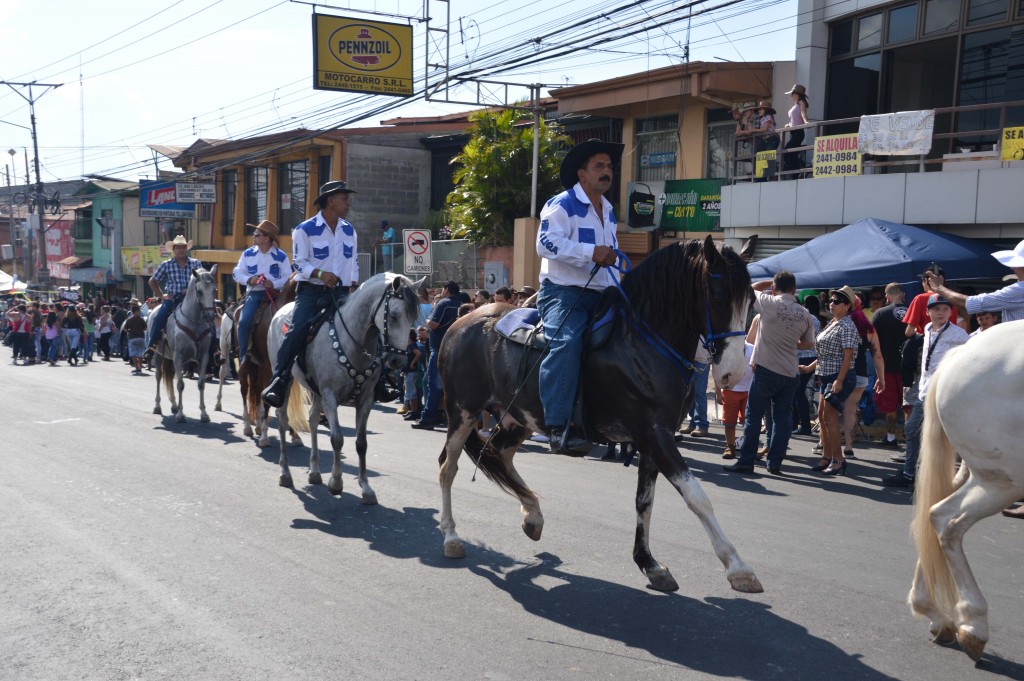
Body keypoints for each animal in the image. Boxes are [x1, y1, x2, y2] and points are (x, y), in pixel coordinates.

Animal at [149, 264, 217, 419]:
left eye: (214, 290)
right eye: (199, 291)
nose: (210, 316)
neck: (194, 322)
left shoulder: (204, 356)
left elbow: (201, 383)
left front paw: (204, 413)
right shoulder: (179, 356)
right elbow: (180, 384)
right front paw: (180, 415)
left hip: (171, 359)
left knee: (170, 376)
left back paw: (174, 405)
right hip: (159, 354)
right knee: (158, 376)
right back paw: (157, 406)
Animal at [268, 270, 423, 499]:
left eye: (413, 318)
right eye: (394, 316)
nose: (398, 361)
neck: (354, 342)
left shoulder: (365, 399)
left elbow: (361, 443)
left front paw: (366, 487)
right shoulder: (330, 396)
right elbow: (337, 439)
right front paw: (336, 481)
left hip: (316, 391)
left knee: (313, 420)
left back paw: (314, 472)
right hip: (285, 381)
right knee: (282, 420)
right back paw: (285, 473)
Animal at [432, 236, 761, 593]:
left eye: (753, 301)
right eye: (717, 297)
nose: (732, 374)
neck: (643, 342)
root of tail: (462, 321)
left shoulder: (653, 438)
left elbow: (644, 501)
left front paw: (649, 563)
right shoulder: (654, 435)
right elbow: (697, 497)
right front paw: (738, 566)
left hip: (520, 416)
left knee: (500, 454)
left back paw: (532, 515)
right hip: (462, 411)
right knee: (448, 468)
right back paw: (451, 536)